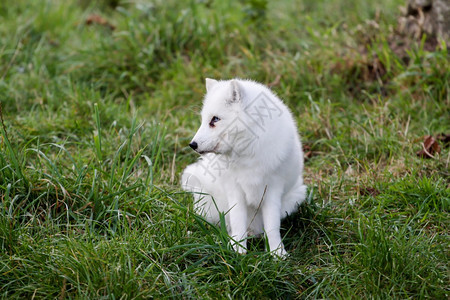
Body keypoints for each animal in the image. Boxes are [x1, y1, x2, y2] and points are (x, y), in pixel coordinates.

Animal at [181, 78, 308, 256]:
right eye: (203, 120)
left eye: (215, 119)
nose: (192, 145)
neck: (247, 151)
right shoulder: (235, 190)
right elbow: (237, 221)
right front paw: (238, 251)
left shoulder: (272, 189)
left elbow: (272, 227)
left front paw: (277, 253)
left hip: (295, 197)